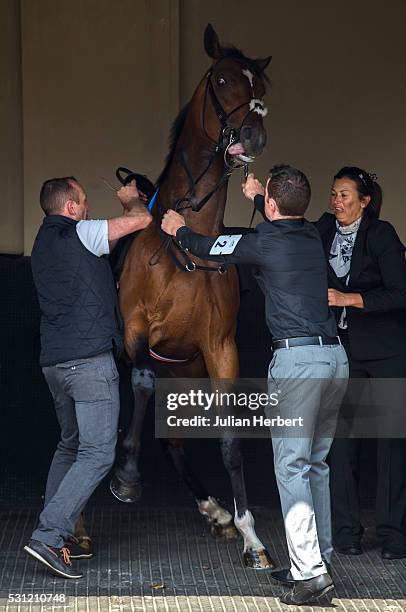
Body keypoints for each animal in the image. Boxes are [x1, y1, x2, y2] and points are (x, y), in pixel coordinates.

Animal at [110, 23, 272, 568]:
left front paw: (250, 534)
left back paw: (215, 510)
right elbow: (139, 383)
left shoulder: (220, 349)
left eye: (261, 87)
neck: (186, 244)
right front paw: (126, 477)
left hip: (183, 373)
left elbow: (229, 442)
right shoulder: (137, 329)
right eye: (221, 80)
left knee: (176, 442)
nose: (253, 134)